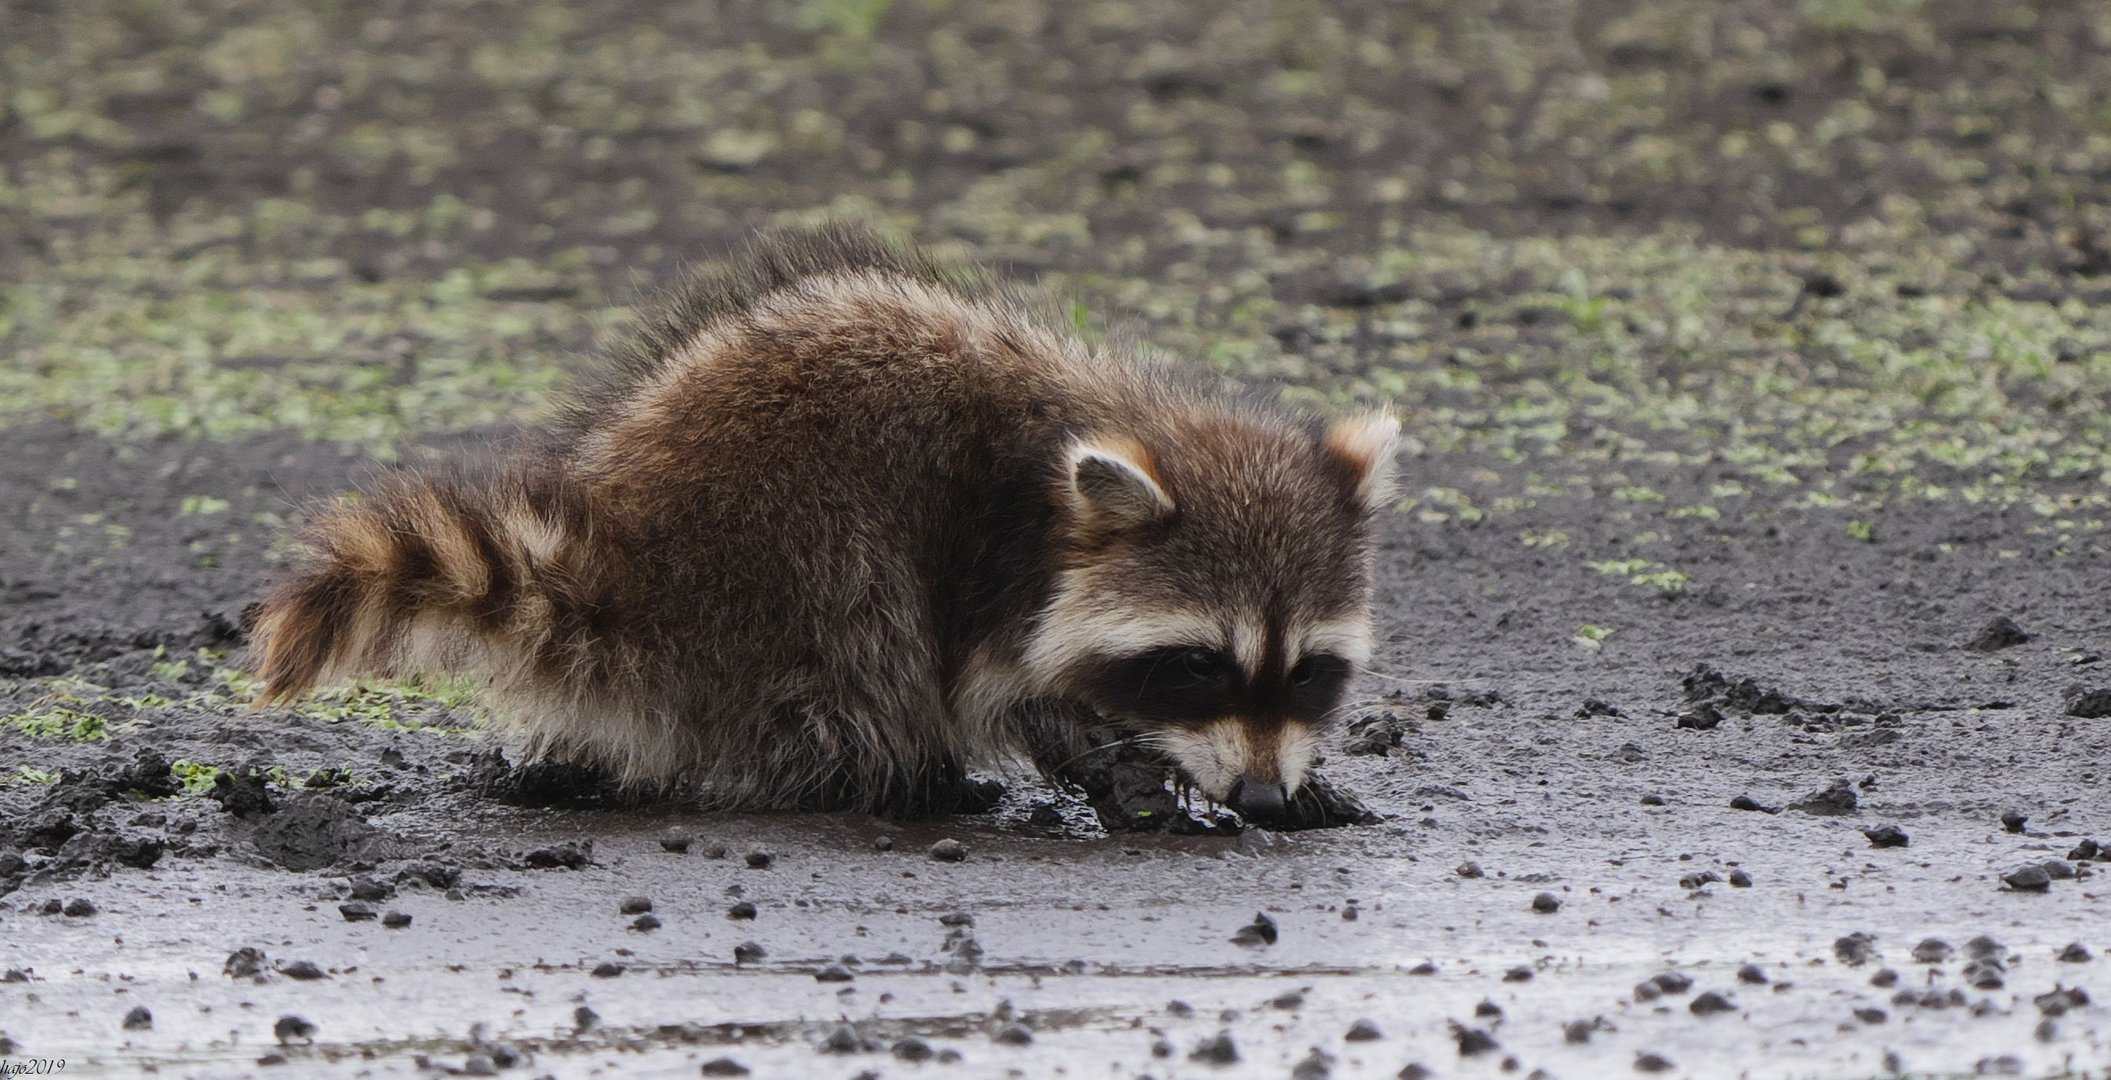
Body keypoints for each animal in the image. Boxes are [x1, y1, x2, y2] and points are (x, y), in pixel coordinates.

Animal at [246, 223, 1393, 822]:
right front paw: (1116, 769)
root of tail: (623, 547)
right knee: (864, 640)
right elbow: (1004, 690)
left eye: (1305, 672)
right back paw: (901, 776)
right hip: (784, 550)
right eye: (1200, 663)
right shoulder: (994, 563)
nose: (1259, 796)